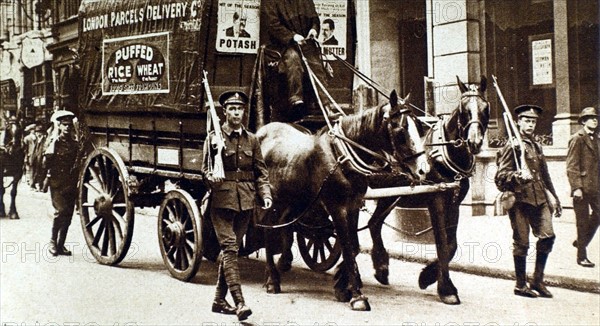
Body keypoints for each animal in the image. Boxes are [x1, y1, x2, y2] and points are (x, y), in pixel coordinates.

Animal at [255, 91, 428, 310]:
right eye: (400, 129)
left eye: (418, 126)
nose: (423, 169)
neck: (341, 156)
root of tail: (261, 132)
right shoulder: (336, 206)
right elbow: (346, 245)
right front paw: (357, 295)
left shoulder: (353, 204)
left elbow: (353, 246)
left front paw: (342, 285)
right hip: (271, 201)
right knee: (268, 231)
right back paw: (272, 280)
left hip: (292, 201)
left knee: (282, 227)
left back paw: (282, 264)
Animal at [368, 75, 490, 304]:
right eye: (464, 109)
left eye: (485, 108)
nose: (475, 141)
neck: (443, 153)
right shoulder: (436, 200)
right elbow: (442, 243)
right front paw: (446, 289)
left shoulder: (455, 202)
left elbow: (452, 244)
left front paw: (428, 276)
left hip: (389, 196)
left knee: (374, 223)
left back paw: (381, 268)